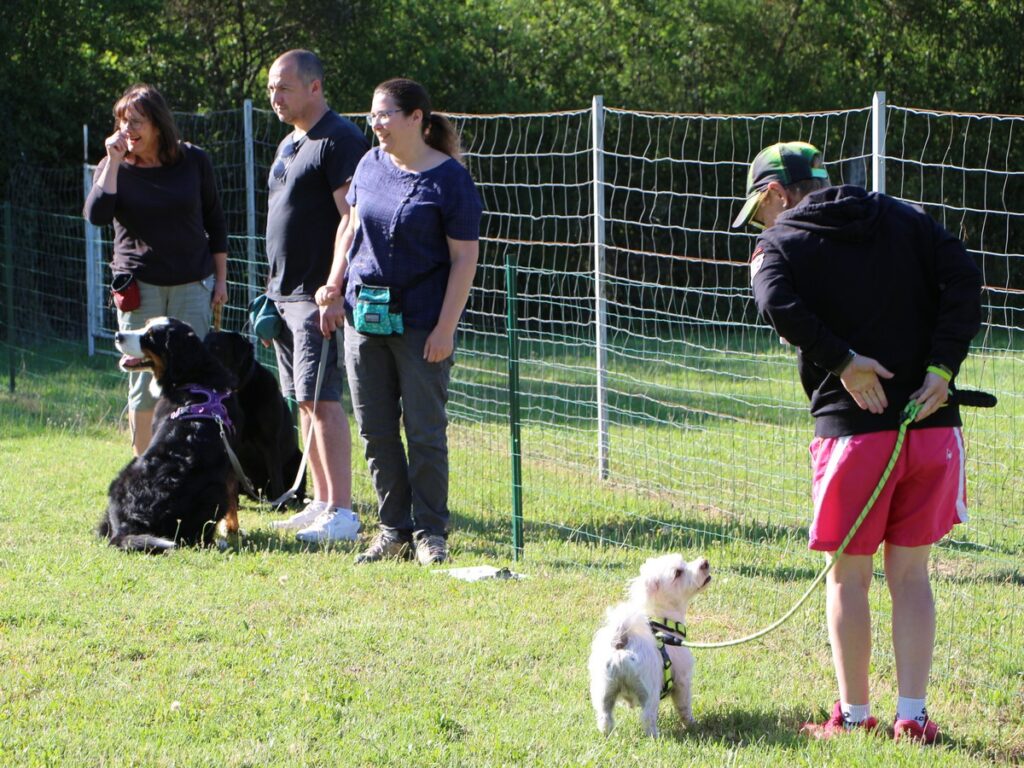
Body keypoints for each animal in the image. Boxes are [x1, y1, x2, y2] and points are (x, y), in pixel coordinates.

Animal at [203, 330, 305, 503]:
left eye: (216, 348)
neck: (238, 393)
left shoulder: (270, 441)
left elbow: (275, 476)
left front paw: (279, 505)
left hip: (299, 459)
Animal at [588, 553, 711, 737]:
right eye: (678, 572)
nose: (705, 563)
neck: (664, 624)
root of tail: (622, 640)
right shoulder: (682, 681)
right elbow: (684, 707)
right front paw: (691, 724)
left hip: (604, 690)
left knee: (605, 717)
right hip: (649, 692)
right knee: (647, 717)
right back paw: (655, 737)